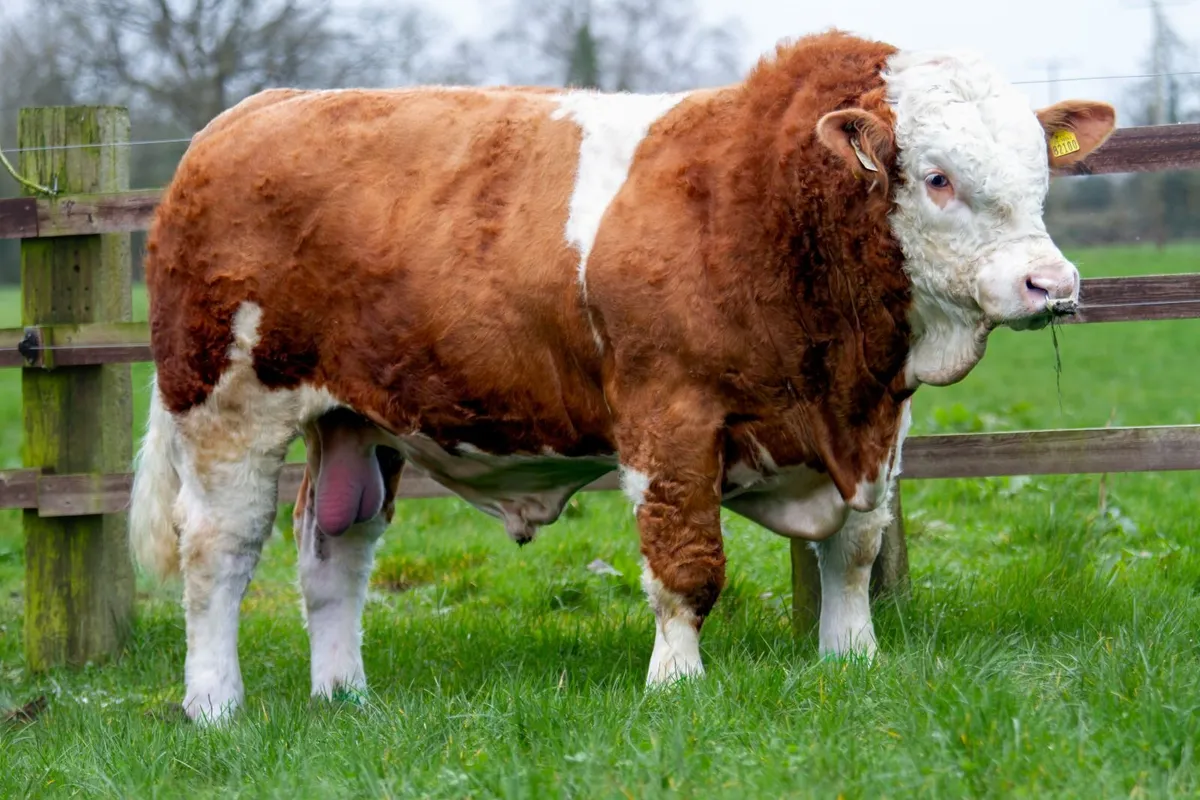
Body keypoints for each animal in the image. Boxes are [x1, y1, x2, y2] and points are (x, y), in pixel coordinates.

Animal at [128, 29, 1116, 724]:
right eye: (939, 178)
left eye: (1040, 176)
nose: (1052, 283)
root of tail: (246, 115)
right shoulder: (668, 417)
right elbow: (687, 564)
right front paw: (676, 682)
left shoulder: (875, 428)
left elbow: (854, 551)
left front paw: (852, 659)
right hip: (226, 407)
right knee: (218, 552)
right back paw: (213, 704)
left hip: (357, 421)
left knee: (336, 553)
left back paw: (345, 696)